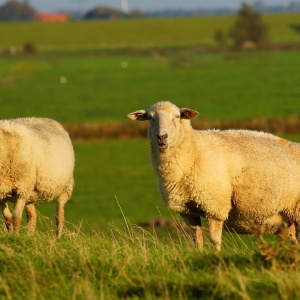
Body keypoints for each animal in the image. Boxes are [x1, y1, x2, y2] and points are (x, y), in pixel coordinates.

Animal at [127, 101, 300, 251]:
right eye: (150, 118)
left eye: (176, 116)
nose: (162, 137)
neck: (193, 151)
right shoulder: (187, 210)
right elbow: (196, 239)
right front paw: (199, 254)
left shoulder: (214, 205)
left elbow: (215, 240)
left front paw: (216, 256)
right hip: (288, 220)